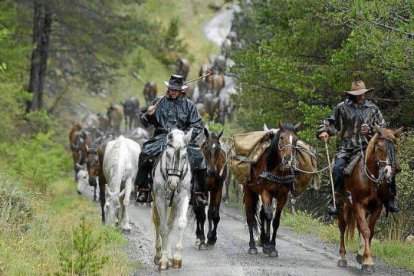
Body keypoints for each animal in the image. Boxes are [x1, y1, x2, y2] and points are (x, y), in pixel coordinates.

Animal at [152, 129, 192, 270]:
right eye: (168, 155)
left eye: (184, 156)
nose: (173, 184)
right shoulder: (160, 199)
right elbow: (163, 228)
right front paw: (163, 260)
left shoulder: (184, 197)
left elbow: (181, 223)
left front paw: (176, 258)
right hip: (155, 201)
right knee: (158, 223)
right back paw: (159, 255)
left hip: (174, 205)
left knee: (170, 225)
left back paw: (169, 254)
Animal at [243, 123, 314, 256]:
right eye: (281, 138)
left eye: (295, 139)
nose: (288, 159)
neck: (277, 170)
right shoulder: (265, 192)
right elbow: (268, 216)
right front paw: (266, 244)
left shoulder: (282, 196)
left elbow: (275, 220)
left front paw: (271, 247)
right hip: (248, 191)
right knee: (250, 217)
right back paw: (253, 246)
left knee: (261, 214)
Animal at [338, 126, 402, 272]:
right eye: (379, 146)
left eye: (395, 147)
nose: (389, 172)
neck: (371, 179)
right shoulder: (358, 205)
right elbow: (366, 230)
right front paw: (368, 262)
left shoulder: (377, 207)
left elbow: (369, 230)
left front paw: (364, 257)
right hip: (341, 203)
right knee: (343, 227)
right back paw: (342, 258)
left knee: (359, 227)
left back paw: (359, 253)